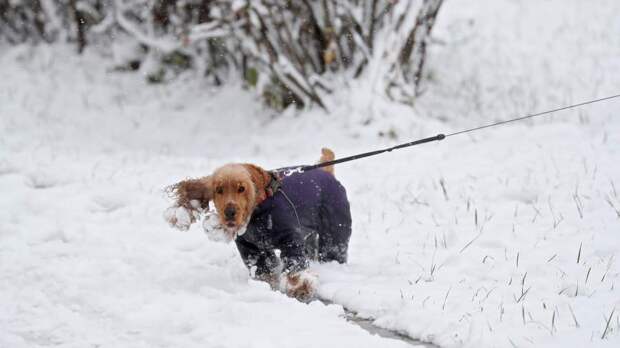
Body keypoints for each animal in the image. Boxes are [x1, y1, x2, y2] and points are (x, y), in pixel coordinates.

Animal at [165, 148, 352, 300]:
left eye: (242, 188)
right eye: (219, 190)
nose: (229, 212)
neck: (258, 211)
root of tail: (326, 172)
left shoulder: (290, 239)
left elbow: (295, 265)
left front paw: (301, 288)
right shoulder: (251, 247)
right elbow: (263, 268)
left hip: (335, 233)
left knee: (334, 250)